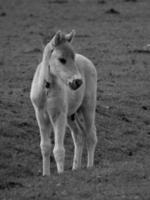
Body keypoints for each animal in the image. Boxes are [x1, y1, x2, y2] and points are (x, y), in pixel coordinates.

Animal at [30, 29, 97, 175]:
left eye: (73, 57)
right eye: (62, 59)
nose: (77, 82)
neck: (47, 89)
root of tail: (87, 60)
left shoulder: (58, 116)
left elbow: (58, 150)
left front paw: (60, 174)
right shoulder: (41, 116)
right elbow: (45, 147)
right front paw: (46, 175)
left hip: (87, 108)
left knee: (90, 136)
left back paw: (90, 166)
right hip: (71, 115)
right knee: (78, 135)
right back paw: (75, 167)